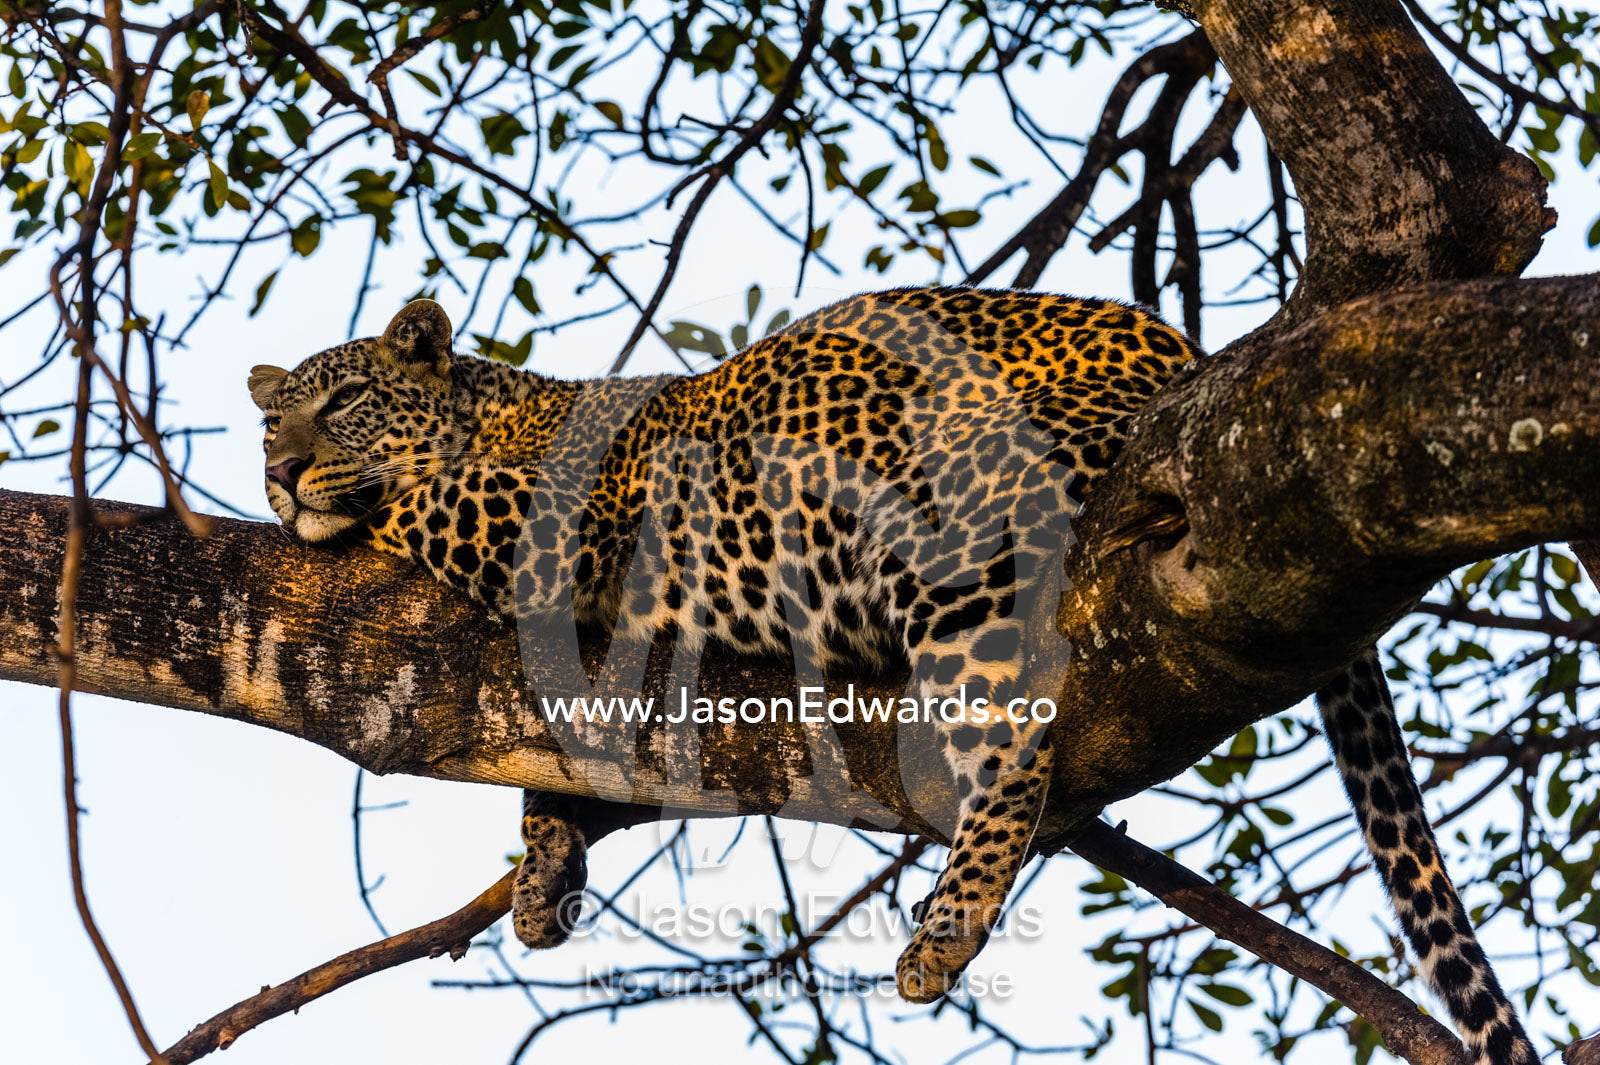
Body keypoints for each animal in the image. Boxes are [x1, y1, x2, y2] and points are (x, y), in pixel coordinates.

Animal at [249, 287, 1535, 1063]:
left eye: (345, 401)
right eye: (270, 421)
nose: (277, 467)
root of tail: (1186, 360)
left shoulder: (549, 523)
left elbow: (414, 503)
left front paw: (327, 507)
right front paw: (542, 875)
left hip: (956, 529)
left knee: (1017, 738)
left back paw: (945, 931)